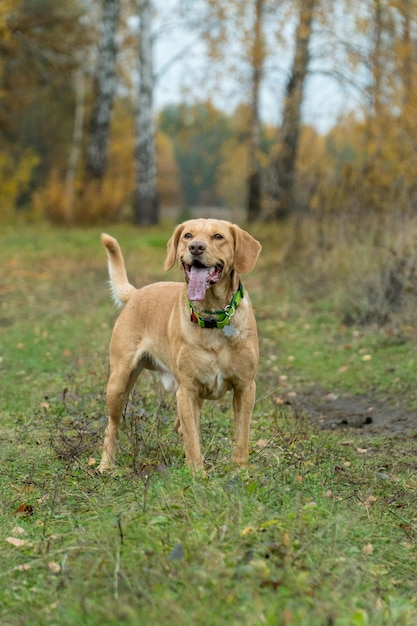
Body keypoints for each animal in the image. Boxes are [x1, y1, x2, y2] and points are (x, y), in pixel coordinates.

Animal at [97, 217, 260, 470]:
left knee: (179, 425)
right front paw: (197, 474)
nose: (196, 247)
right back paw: (105, 466)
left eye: (218, 236)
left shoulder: (245, 387)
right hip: (118, 383)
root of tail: (136, 293)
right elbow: (193, 440)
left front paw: (240, 470)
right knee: (111, 428)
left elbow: (241, 436)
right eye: (188, 235)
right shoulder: (187, 390)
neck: (212, 316)